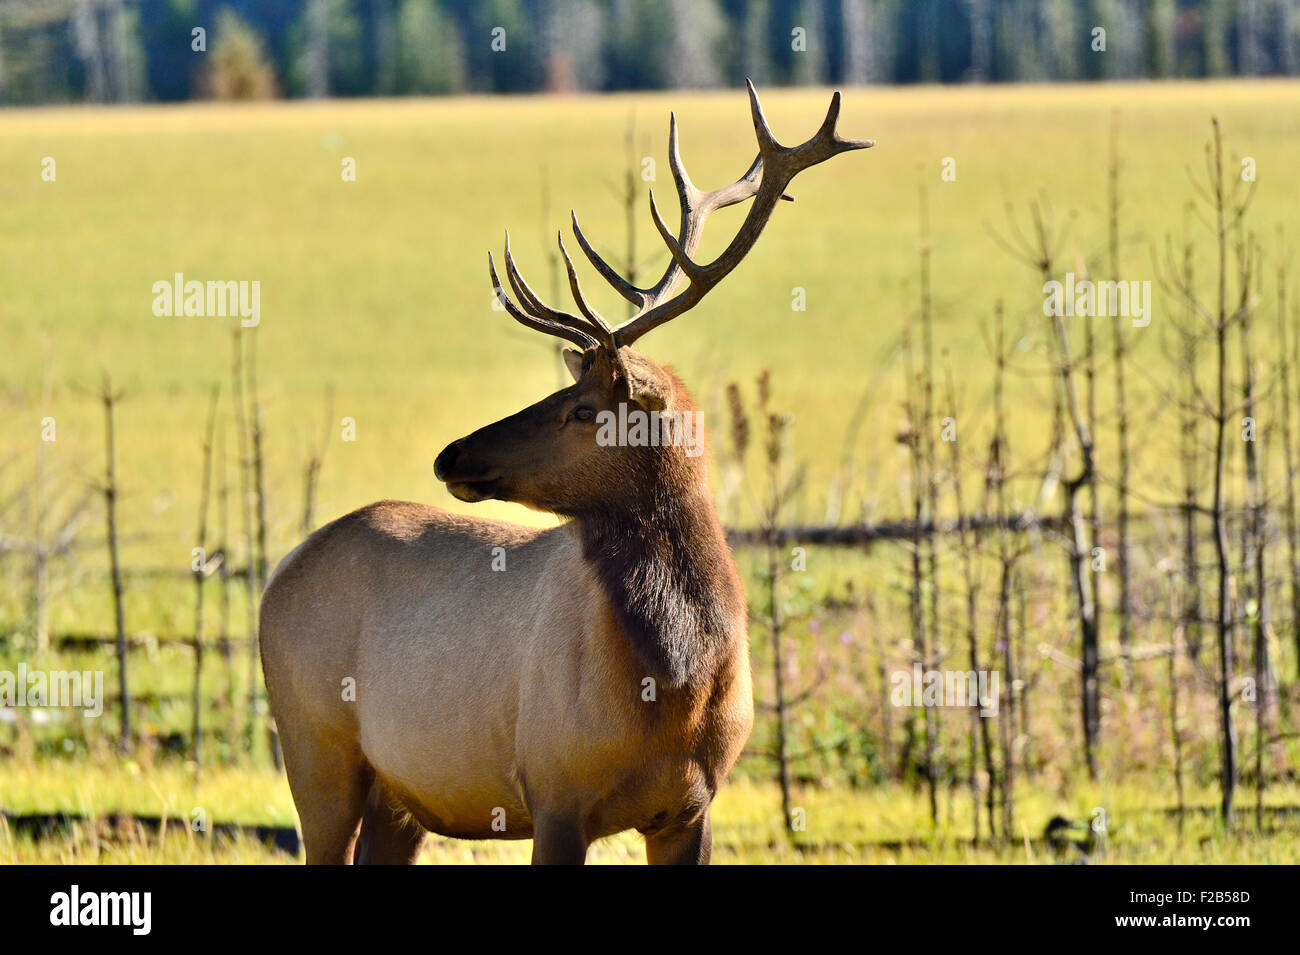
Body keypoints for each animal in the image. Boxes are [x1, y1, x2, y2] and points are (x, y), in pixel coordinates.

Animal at [260, 83, 873, 867]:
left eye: (583, 408)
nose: (451, 454)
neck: (679, 686)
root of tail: (280, 568)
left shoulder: (693, 806)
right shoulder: (553, 788)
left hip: (399, 791)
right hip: (315, 749)